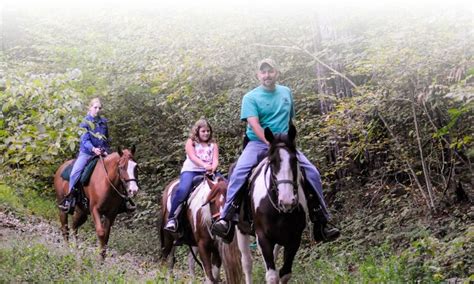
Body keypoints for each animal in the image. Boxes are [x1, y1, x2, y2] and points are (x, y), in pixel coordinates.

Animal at [236, 126, 308, 284]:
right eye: (272, 162)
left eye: (294, 160)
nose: (287, 200)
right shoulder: (263, 237)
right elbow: (272, 276)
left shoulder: (294, 238)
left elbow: (285, 273)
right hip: (240, 230)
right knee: (246, 263)